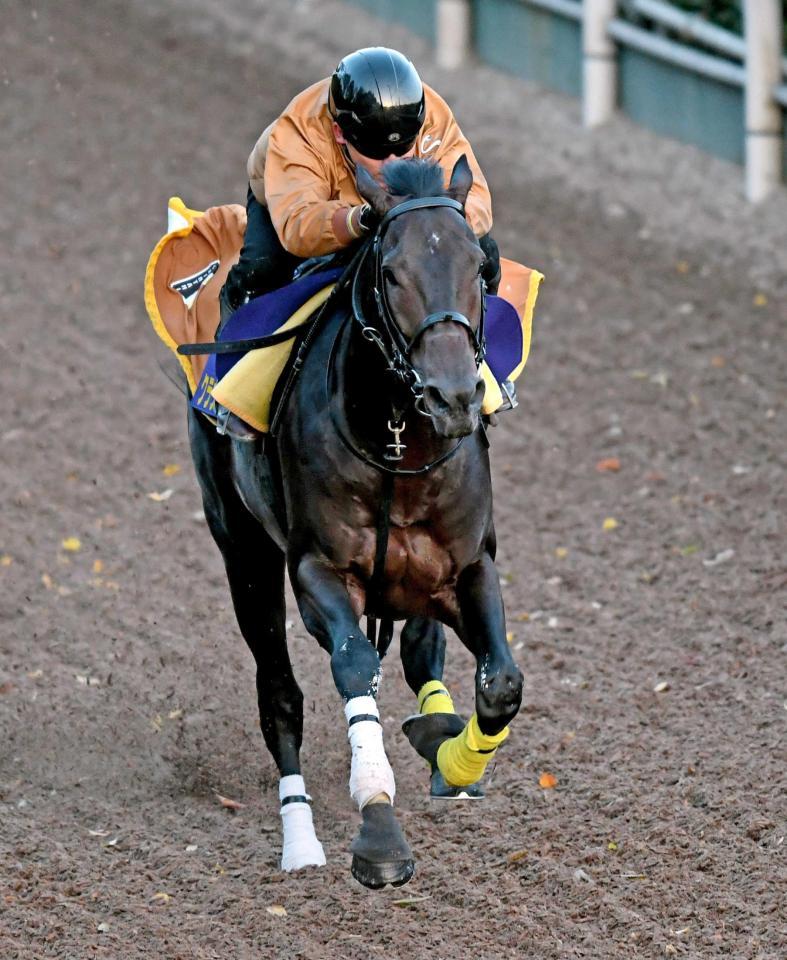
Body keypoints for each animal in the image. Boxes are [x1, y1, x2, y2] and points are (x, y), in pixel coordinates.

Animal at [186, 154, 524, 888]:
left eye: (477, 266)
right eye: (390, 271)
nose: (453, 396)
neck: (398, 445)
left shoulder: (465, 567)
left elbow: (500, 683)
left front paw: (450, 756)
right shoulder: (319, 571)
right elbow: (352, 665)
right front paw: (378, 833)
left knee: (421, 650)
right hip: (242, 550)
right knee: (279, 698)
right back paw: (300, 841)